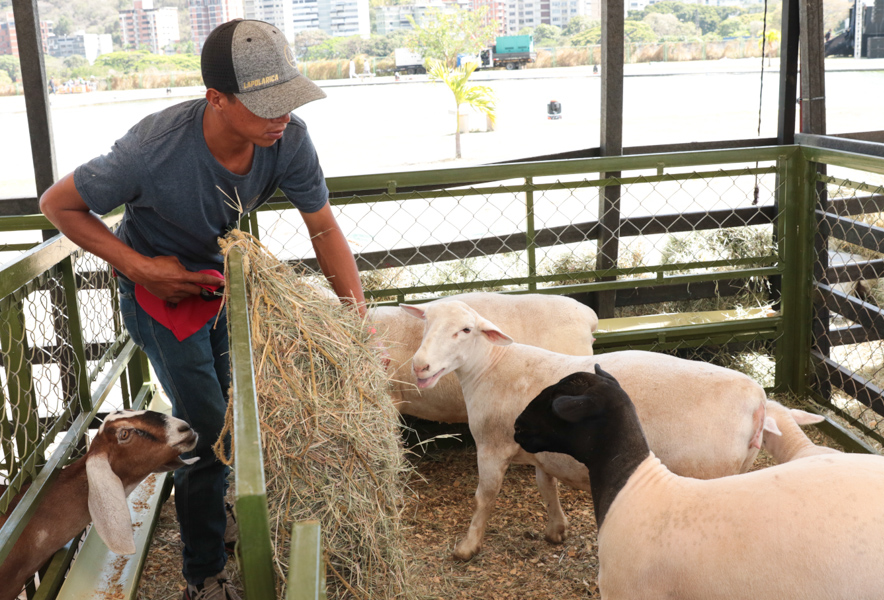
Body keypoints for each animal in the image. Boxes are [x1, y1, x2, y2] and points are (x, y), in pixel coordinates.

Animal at [402, 302, 768, 560]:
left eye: (465, 330)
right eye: (426, 323)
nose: (420, 366)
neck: (489, 367)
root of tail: (757, 398)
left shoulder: (491, 446)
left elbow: (484, 497)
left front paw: (467, 546)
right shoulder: (538, 446)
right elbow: (545, 485)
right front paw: (556, 529)